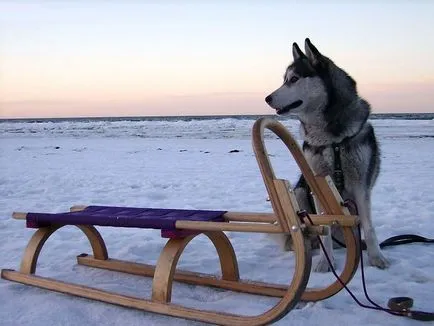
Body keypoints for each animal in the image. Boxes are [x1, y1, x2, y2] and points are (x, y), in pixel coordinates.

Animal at [264, 38, 390, 272]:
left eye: (293, 79)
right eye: (284, 80)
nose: (267, 98)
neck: (332, 140)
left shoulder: (361, 185)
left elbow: (369, 226)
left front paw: (377, 257)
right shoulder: (317, 182)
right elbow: (325, 226)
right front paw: (325, 262)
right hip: (300, 192)